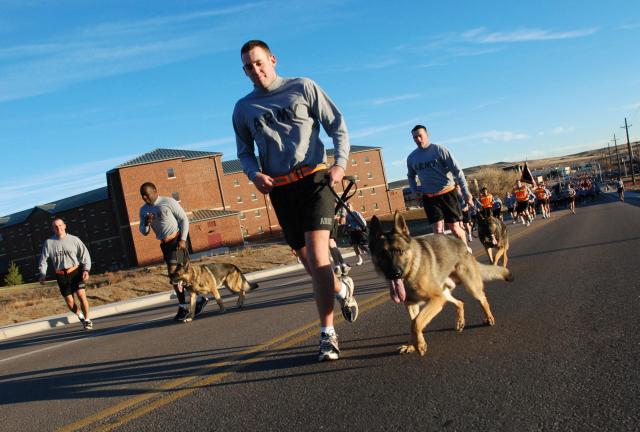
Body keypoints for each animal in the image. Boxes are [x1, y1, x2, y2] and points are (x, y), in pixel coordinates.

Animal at [368, 213, 512, 358]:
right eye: (382, 254)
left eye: (400, 251)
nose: (395, 273)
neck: (411, 273)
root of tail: (464, 246)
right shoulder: (412, 305)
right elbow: (413, 323)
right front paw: (412, 345)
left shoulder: (435, 299)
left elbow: (415, 323)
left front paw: (419, 345)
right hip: (444, 294)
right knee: (460, 302)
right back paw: (460, 322)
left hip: (468, 287)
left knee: (482, 299)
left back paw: (489, 318)